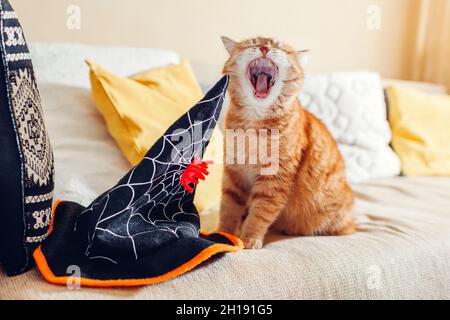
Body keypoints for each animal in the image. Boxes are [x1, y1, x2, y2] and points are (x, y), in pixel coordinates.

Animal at [218, 36, 356, 249]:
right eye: (253, 43)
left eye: (278, 47)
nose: (264, 47)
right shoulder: (234, 173)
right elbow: (228, 209)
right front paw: (222, 234)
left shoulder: (275, 179)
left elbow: (259, 214)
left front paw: (249, 239)